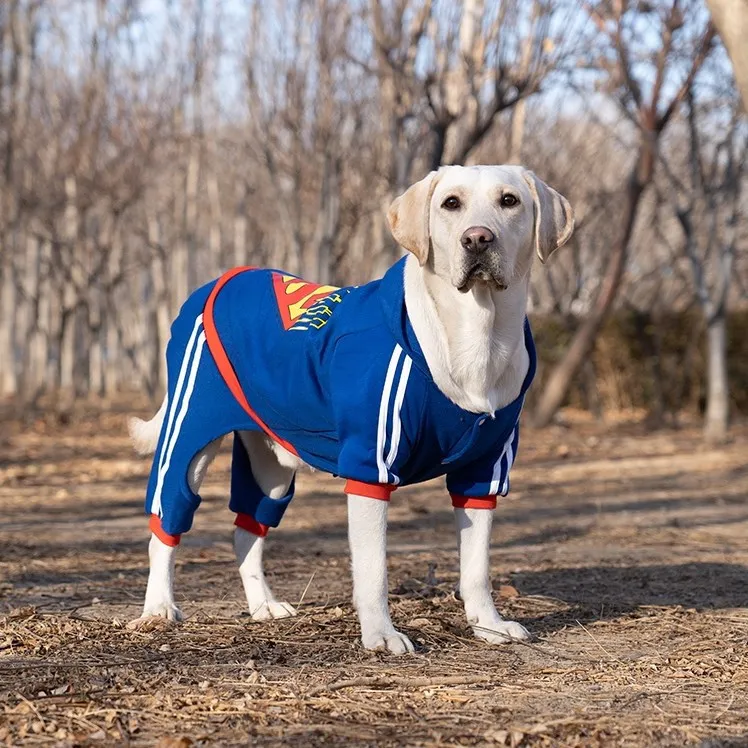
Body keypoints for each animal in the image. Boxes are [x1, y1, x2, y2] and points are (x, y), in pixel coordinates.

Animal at [130, 165, 572, 656]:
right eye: (451, 204)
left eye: (509, 201)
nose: (478, 238)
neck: (477, 333)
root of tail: (217, 282)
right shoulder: (370, 467)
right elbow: (374, 570)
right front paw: (381, 635)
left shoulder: (483, 472)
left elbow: (476, 567)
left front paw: (489, 626)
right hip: (191, 435)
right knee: (167, 521)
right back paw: (158, 608)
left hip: (273, 463)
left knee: (248, 526)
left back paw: (263, 605)